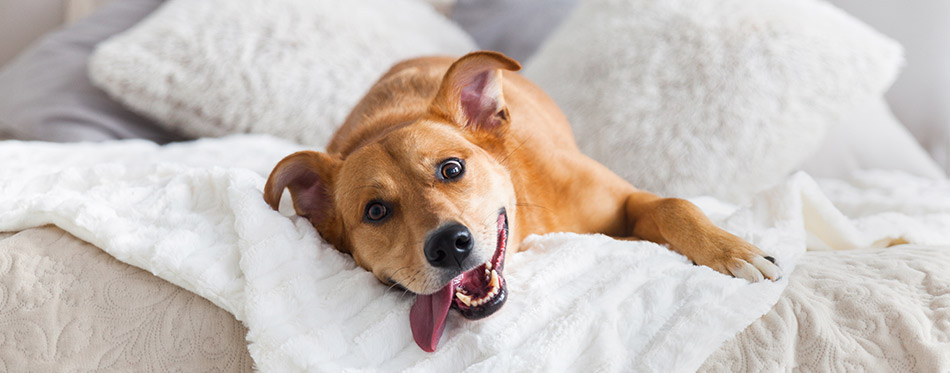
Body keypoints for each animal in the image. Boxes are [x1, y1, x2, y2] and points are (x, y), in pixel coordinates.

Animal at [262, 50, 780, 352]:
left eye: (452, 169)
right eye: (375, 211)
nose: (448, 245)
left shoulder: (628, 200)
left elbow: (674, 204)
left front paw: (732, 250)